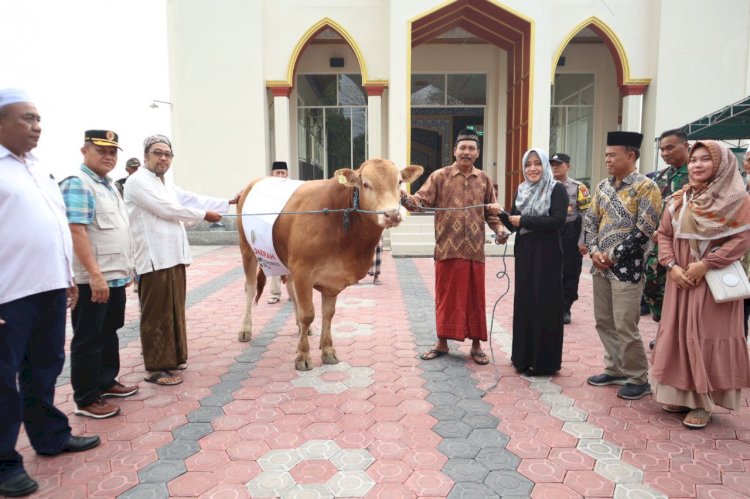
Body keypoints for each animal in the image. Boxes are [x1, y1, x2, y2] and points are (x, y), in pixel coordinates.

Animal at [238, 160, 424, 372]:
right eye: (365, 184)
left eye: (399, 182)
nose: (392, 214)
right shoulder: (303, 271)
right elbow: (308, 314)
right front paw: (303, 356)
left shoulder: (331, 278)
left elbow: (328, 314)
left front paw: (327, 351)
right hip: (247, 248)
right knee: (251, 288)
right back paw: (245, 329)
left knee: (291, 290)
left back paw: (302, 328)